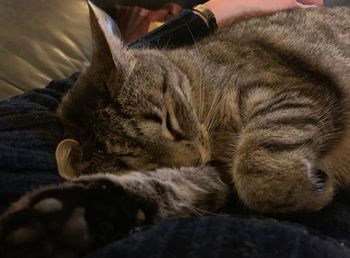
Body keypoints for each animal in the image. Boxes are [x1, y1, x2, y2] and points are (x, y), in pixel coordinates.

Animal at [0, 1, 350, 256]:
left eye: (168, 121)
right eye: (147, 162)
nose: (194, 158)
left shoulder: (291, 93)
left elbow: (257, 174)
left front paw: (307, 189)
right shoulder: (213, 176)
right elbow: (163, 188)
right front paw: (63, 216)